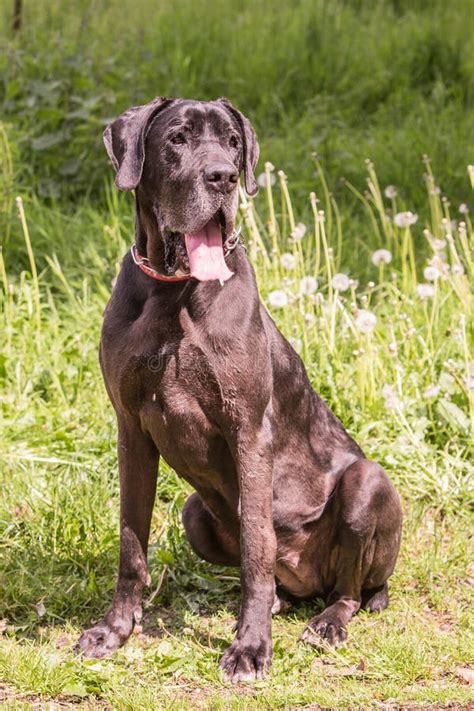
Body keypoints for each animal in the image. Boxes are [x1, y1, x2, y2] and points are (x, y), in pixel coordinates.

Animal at [76, 98, 402, 684]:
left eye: (232, 142)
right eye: (177, 139)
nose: (224, 177)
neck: (173, 291)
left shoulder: (247, 430)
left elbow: (256, 546)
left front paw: (250, 647)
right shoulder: (131, 430)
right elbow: (131, 542)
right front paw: (114, 631)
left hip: (367, 487)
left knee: (346, 589)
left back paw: (326, 622)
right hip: (194, 514)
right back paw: (280, 602)